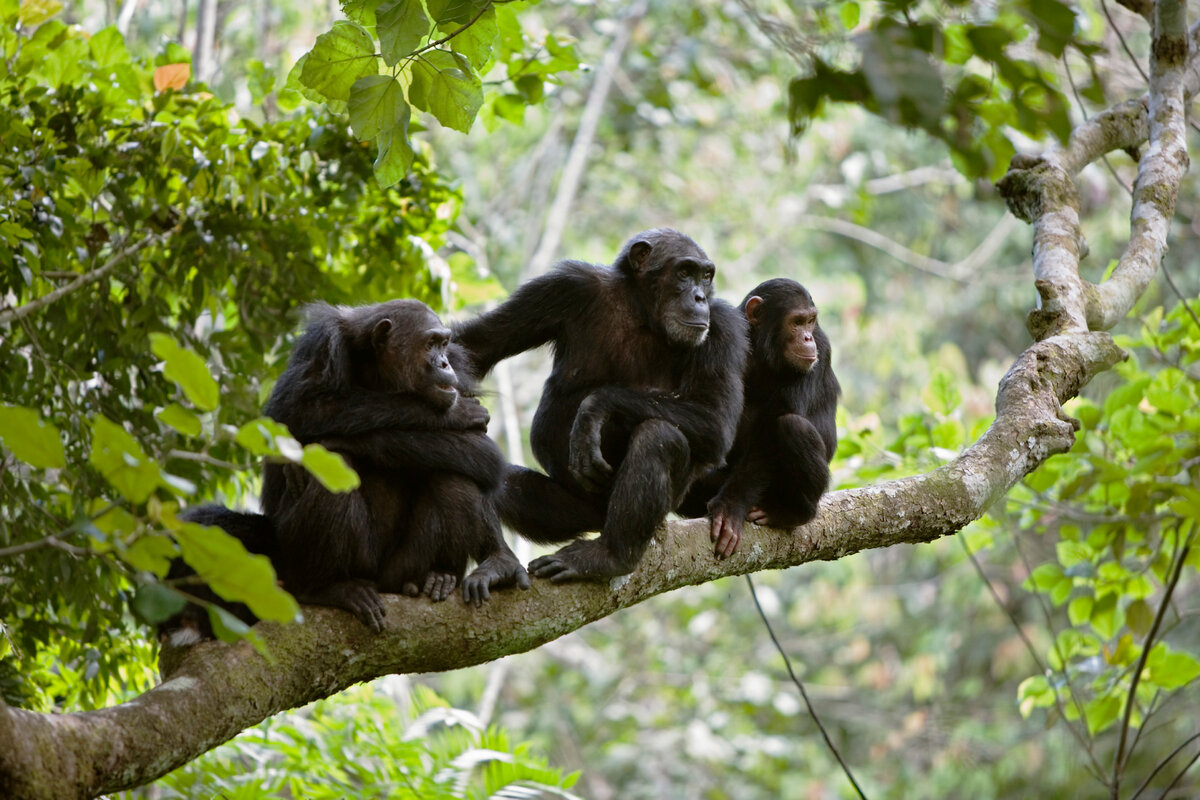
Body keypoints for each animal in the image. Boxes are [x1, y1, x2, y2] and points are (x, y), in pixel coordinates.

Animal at [451, 225, 744, 582]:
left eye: (706, 276)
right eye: (685, 272)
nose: (700, 297)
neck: (642, 311)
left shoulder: (724, 327)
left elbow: (714, 418)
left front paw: (594, 409)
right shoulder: (564, 287)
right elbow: (475, 346)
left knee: (660, 437)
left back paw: (609, 556)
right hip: (576, 511)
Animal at [681, 278, 840, 561]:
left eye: (810, 321)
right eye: (797, 322)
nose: (807, 337)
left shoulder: (821, 346)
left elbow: (773, 427)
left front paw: (730, 507)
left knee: (791, 426)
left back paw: (793, 512)